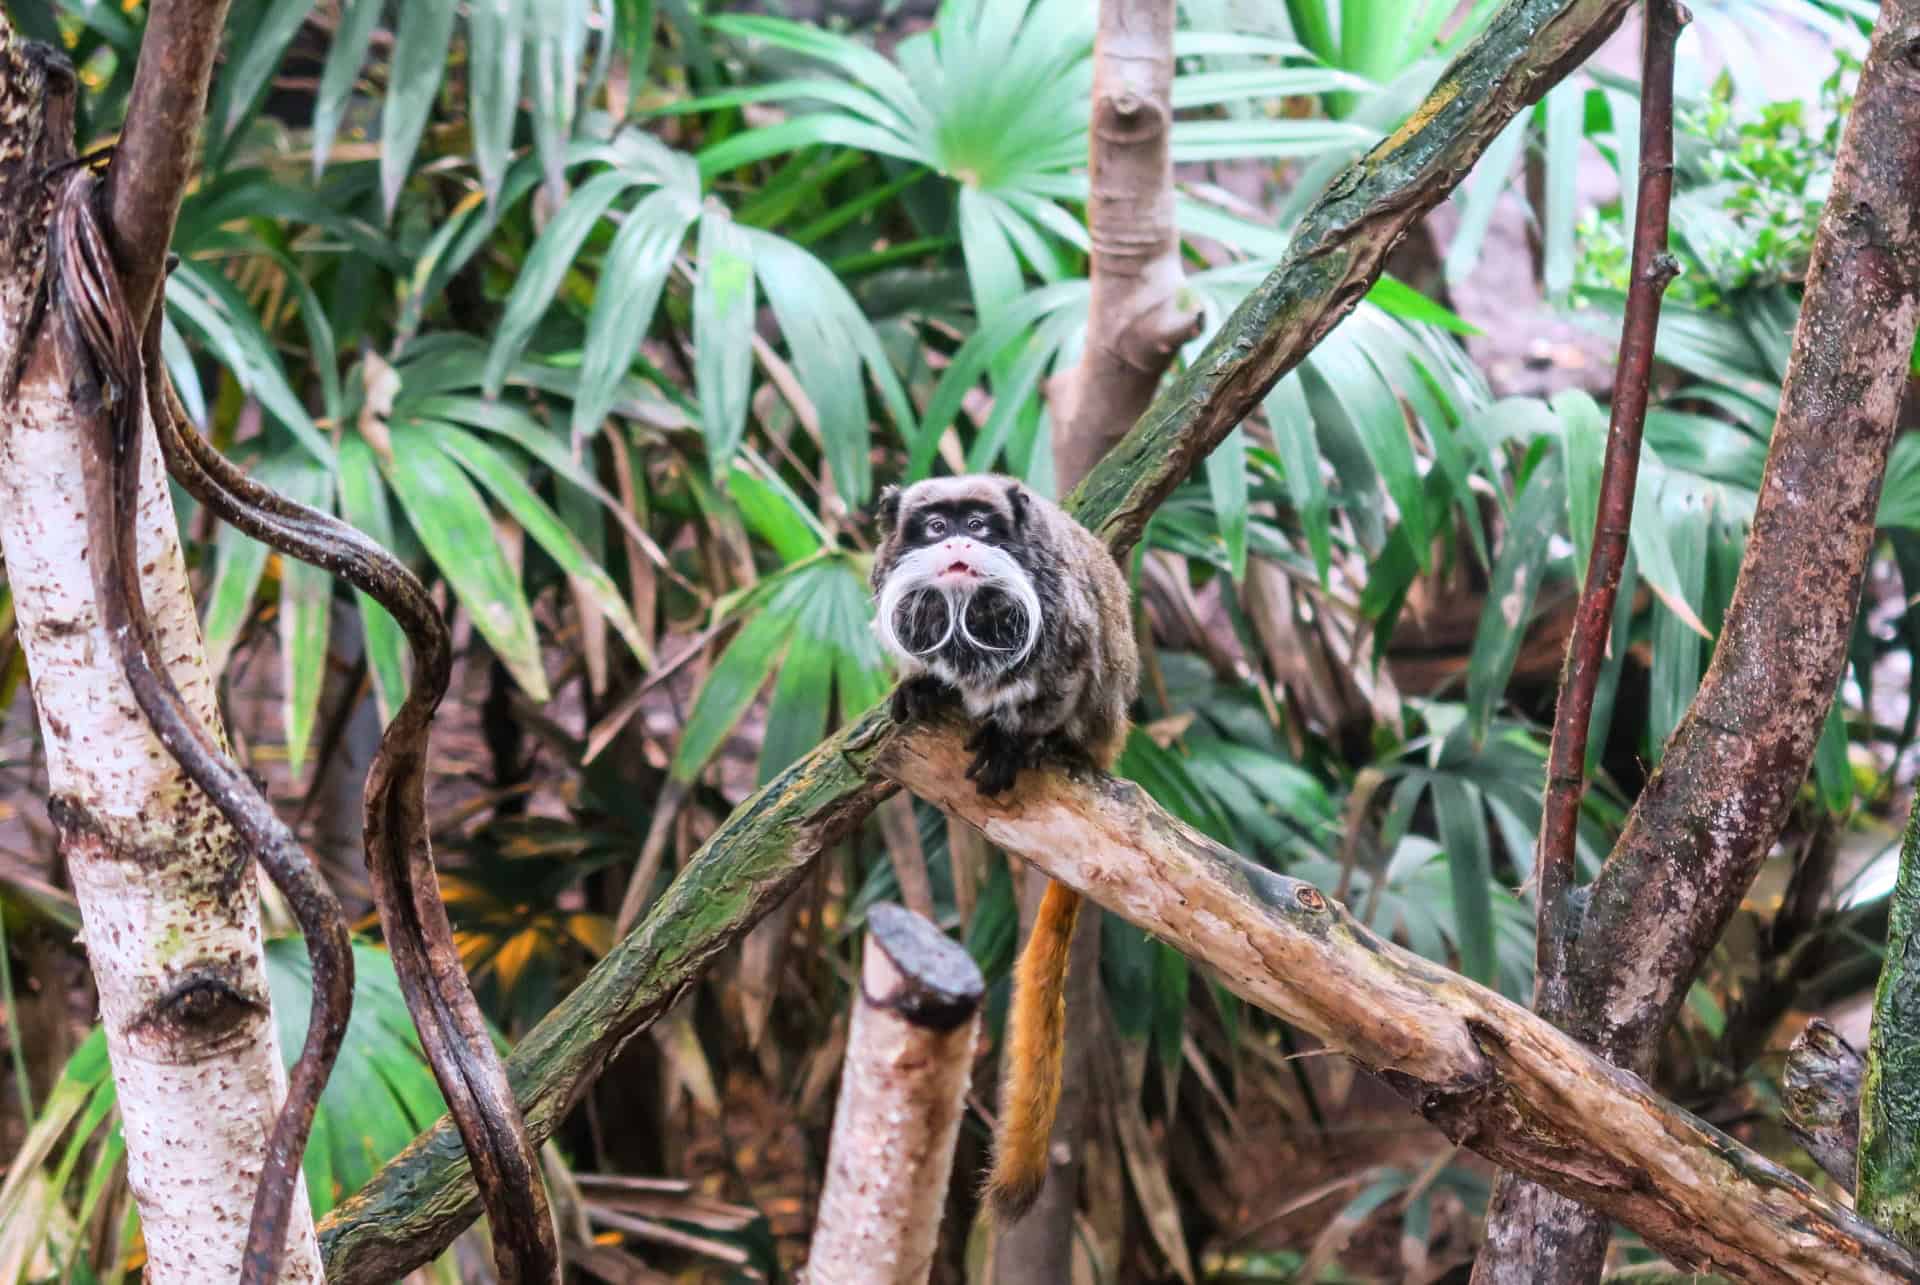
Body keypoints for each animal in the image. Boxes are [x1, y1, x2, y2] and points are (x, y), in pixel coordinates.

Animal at [875, 470, 1136, 1213]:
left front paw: (1012, 740)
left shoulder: (1056, 618)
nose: (959, 542)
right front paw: (920, 686)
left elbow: (1060, 672)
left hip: (1101, 716)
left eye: (979, 525)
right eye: (935, 527)